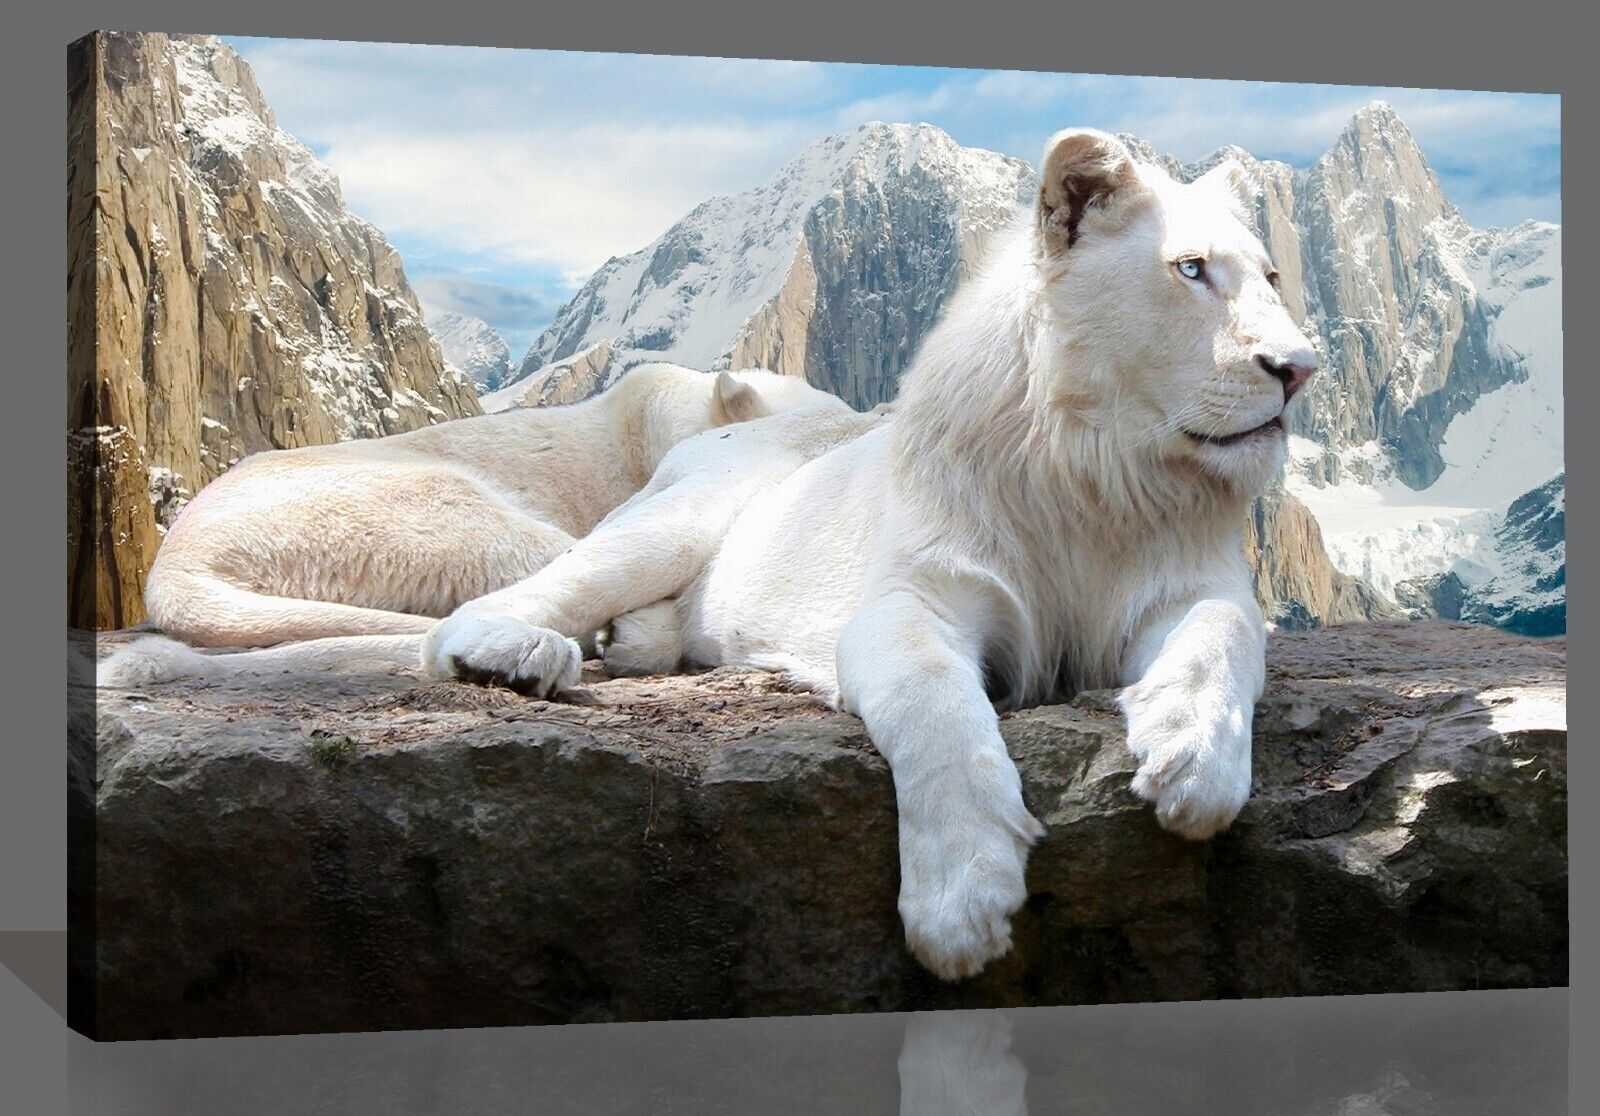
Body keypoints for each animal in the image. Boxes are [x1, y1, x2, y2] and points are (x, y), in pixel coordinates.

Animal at [102, 129, 1318, 983]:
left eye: (1270, 274)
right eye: (1192, 270)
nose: (1300, 368)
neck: (1102, 468)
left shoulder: (1187, 589)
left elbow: (1224, 641)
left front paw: (1192, 762)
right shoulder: (911, 600)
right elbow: (940, 717)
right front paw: (962, 903)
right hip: (627, 521)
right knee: (481, 616)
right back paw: (532, 653)